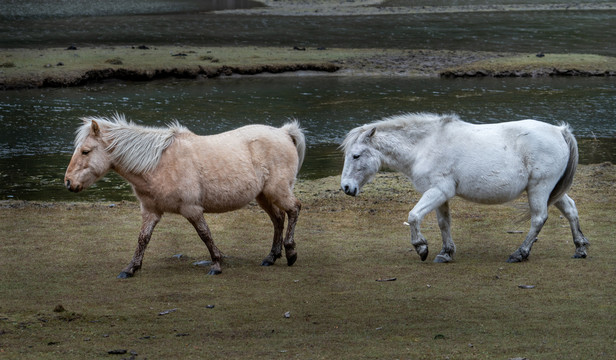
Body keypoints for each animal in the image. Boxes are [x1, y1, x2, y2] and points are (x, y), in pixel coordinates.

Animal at [65, 114, 306, 278]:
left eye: (85, 151)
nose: (68, 182)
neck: (157, 164)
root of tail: (285, 132)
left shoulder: (192, 209)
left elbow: (205, 234)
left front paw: (216, 264)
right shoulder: (151, 211)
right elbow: (143, 239)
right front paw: (130, 268)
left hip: (277, 191)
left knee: (294, 209)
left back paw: (291, 252)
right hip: (263, 196)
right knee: (278, 219)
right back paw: (271, 257)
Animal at [340, 112, 588, 262]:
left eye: (356, 155)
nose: (346, 188)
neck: (424, 146)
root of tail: (560, 131)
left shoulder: (438, 191)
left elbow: (413, 216)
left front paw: (421, 248)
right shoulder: (440, 195)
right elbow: (444, 223)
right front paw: (445, 253)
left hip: (539, 188)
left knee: (538, 219)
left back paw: (520, 253)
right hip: (551, 191)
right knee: (571, 210)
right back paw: (580, 248)